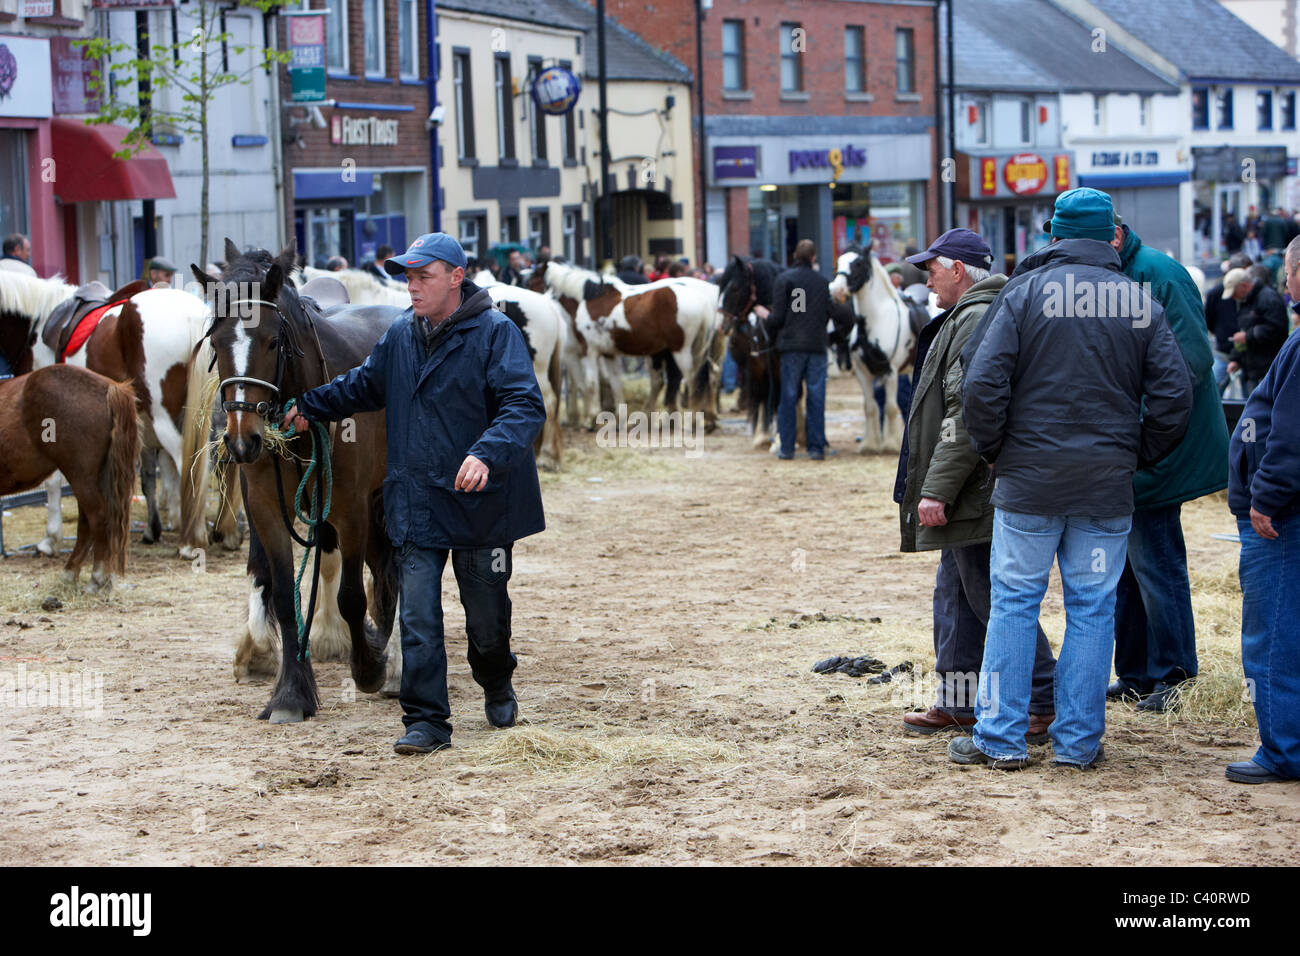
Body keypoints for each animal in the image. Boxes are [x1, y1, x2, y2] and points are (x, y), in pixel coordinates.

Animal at [0, 364, 139, 590]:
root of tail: (111, 387)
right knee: (86, 522)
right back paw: (71, 573)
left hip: (80, 475)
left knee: (97, 518)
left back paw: (97, 578)